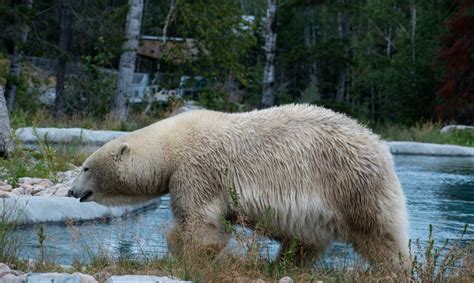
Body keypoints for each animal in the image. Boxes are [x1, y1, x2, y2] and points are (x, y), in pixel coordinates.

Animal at [68, 104, 410, 266]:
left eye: (85, 167)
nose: (71, 191)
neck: (172, 144)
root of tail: (379, 145)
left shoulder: (197, 170)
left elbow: (199, 221)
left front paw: (190, 256)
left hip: (350, 183)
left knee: (379, 235)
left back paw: (394, 268)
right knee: (304, 240)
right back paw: (282, 265)